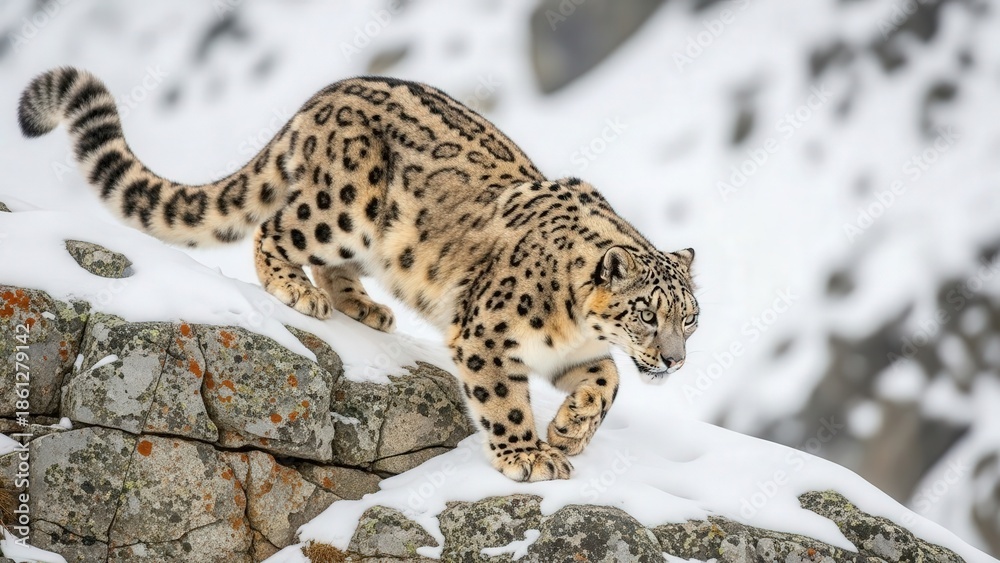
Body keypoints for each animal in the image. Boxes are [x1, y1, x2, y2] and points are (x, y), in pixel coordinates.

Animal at [18, 67, 699, 482]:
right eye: (647, 313)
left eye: (690, 320)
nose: (674, 361)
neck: (573, 327)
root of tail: (325, 94)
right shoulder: (488, 333)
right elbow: (504, 398)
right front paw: (529, 456)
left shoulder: (572, 353)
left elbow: (608, 380)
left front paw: (570, 429)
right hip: (342, 206)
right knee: (278, 227)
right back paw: (295, 288)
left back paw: (364, 306)